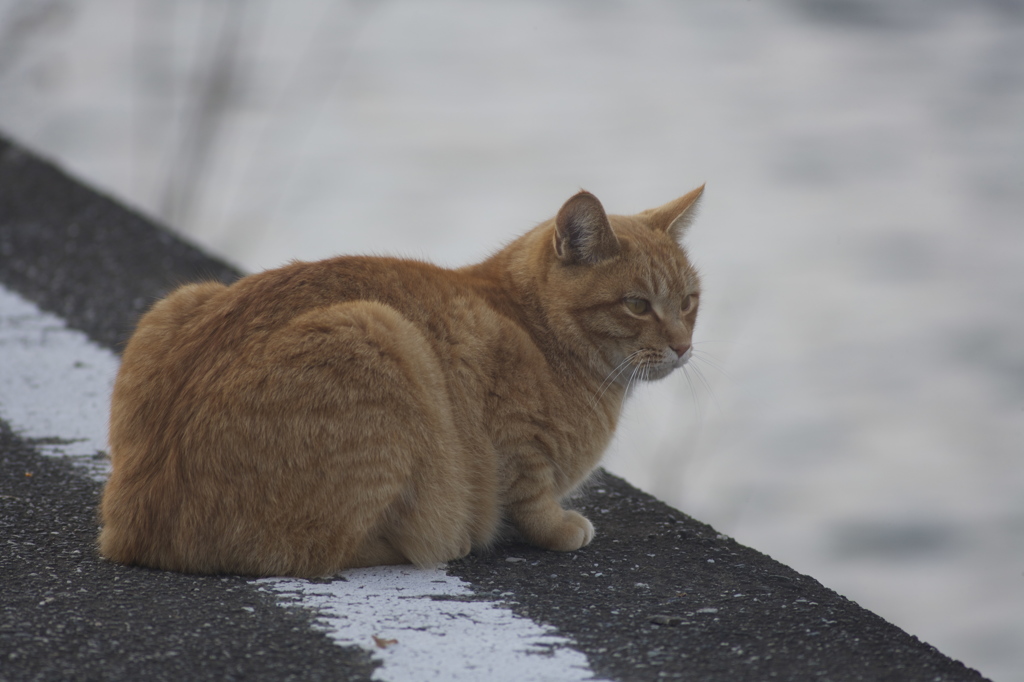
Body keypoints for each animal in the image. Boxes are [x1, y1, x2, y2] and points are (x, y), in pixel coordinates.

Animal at [97, 184, 704, 573]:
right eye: (637, 305)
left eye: (690, 302)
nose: (683, 346)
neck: (535, 328)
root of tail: (130, 528)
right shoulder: (517, 443)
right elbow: (531, 499)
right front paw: (559, 529)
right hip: (380, 331)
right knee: (316, 553)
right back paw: (439, 542)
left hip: (179, 300)